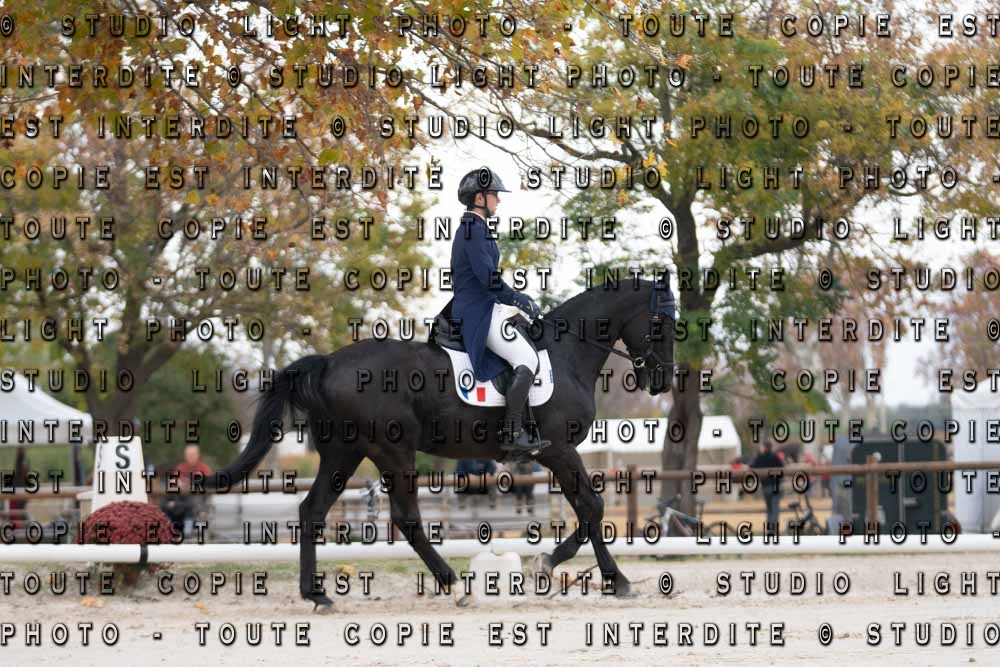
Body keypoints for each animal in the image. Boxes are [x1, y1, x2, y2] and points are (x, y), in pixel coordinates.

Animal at [215, 276, 675, 611]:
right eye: (662, 324)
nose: (663, 381)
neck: (566, 353)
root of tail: (328, 363)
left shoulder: (557, 454)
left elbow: (587, 510)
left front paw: (585, 573)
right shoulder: (557, 450)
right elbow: (593, 508)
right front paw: (565, 569)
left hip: (344, 452)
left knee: (312, 511)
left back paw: (318, 594)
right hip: (392, 451)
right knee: (406, 518)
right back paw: (454, 586)